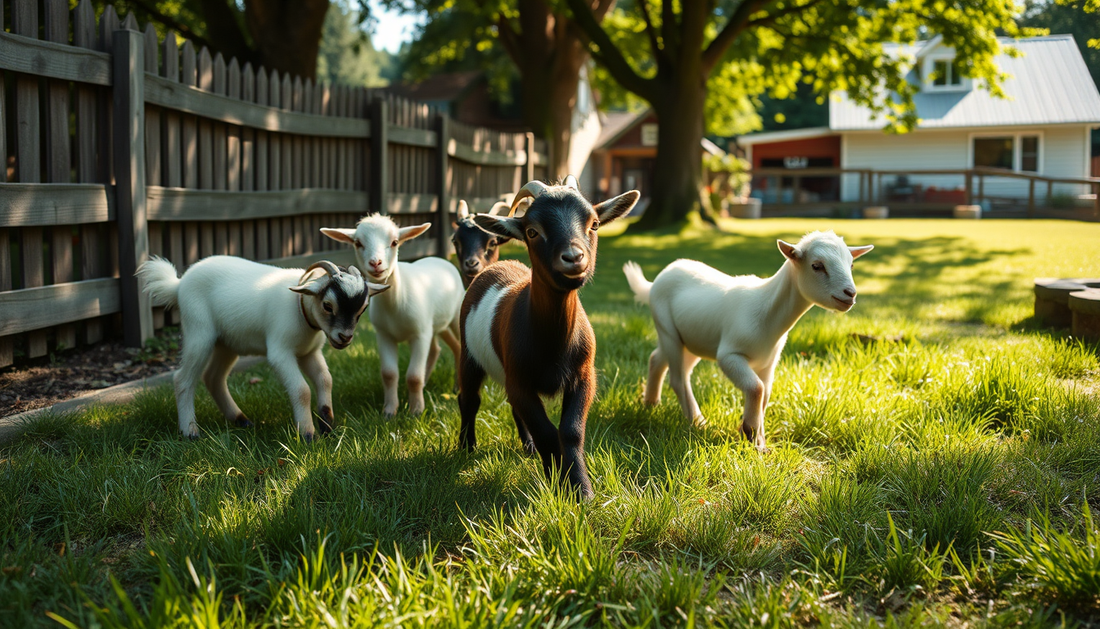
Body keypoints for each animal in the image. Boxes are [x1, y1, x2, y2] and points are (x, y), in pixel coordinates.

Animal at [136, 254, 387, 437]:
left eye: (363, 309)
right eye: (327, 305)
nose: (345, 337)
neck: (299, 306)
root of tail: (178, 285)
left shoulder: (309, 353)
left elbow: (325, 379)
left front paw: (326, 426)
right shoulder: (280, 353)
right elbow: (302, 390)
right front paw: (308, 434)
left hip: (226, 343)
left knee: (213, 378)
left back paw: (241, 420)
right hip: (199, 333)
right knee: (182, 379)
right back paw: (190, 432)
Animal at [323, 213, 466, 415]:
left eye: (395, 242)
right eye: (358, 243)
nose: (375, 263)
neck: (395, 301)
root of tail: (440, 259)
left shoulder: (419, 334)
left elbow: (413, 376)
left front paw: (416, 411)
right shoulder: (384, 335)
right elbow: (389, 374)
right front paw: (390, 411)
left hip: (454, 317)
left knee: (459, 346)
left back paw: (456, 387)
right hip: (437, 324)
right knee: (442, 348)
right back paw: (435, 384)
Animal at [624, 230, 871, 453]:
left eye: (851, 265)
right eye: (817, 266)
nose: (850, 294)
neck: (767, 311)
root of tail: (656, 280)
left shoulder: (769, 362)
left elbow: (765, 395)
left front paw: (760, 442)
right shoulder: (729, 356)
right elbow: (756, 388)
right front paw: (750, 432)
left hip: (691, 339)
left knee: (657, 358)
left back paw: (650, 404)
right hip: (666, 327)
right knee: (678, 378)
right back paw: (697, 422)